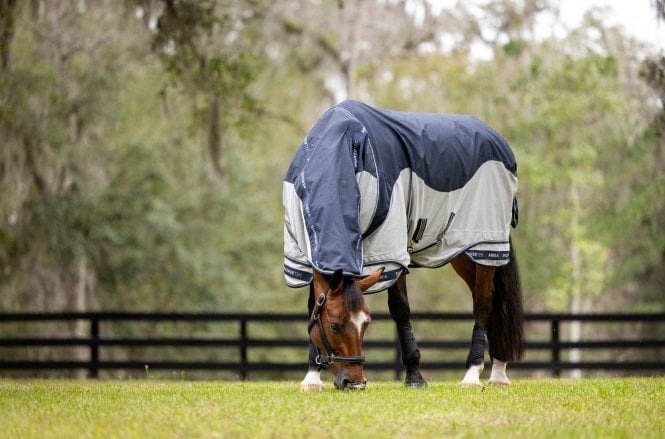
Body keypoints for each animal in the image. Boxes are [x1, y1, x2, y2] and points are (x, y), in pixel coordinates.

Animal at [283, 100, 524, 390]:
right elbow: (312, 307)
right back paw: (498, 373)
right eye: (334, 326)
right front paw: (311, 377)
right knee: (493, 301)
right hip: (463, 253)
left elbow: (400, 309)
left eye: (366, 324)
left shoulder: (391, 252)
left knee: (484, 304)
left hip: (485, 244)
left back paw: (474, 374)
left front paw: (415, 375)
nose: (355, 383)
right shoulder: (305, 258)